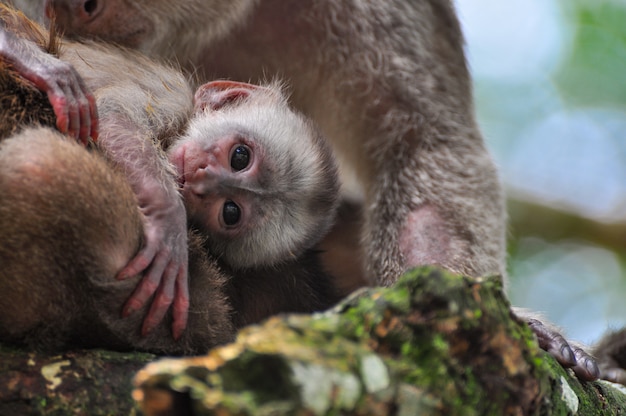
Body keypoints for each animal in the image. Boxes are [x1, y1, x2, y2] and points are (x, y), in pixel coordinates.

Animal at [2, 0, 596, 378]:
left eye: (232, 211)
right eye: (239, 155)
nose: (201, 179)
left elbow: (421, 141)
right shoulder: (168, 94)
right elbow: (116, 117)